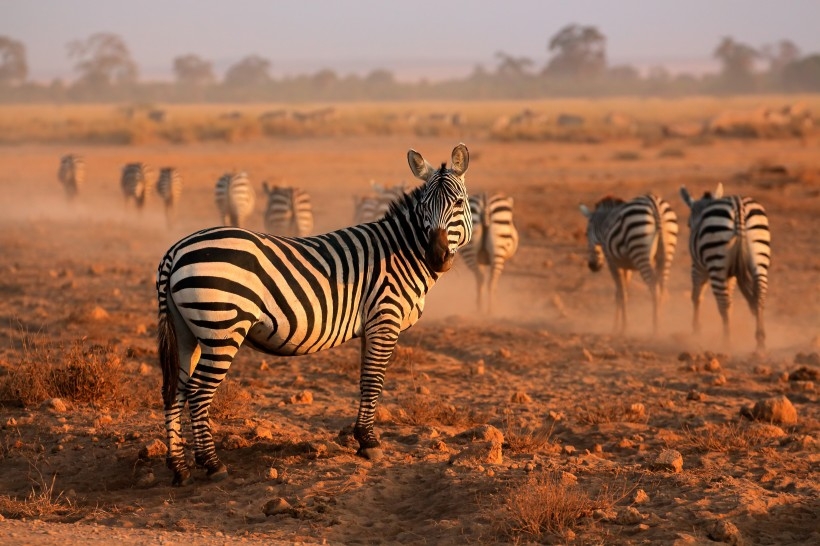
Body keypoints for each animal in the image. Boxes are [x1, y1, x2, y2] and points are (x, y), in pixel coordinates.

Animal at [156, 142, 470, 482]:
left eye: (458, 203)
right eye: (424, 207)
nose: (436, 256)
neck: (401, 253)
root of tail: (175, 250)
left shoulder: (372, 325)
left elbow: (365, 380)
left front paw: (362, 439)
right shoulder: (385, 318)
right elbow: (374, 380)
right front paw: (370, 443)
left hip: (186, 330)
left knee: (175, 390)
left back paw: (178, 467)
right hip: (222, 328)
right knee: (198, 392)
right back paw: (212, 464)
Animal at [580, 193, 684, 334]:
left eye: (586, 233)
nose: (593, 266)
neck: (605, 223)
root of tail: (654, 204)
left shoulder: (612, 262)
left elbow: (621, 294)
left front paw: (623, 328)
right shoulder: (626, 266)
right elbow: (621, 294)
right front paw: (616, 327)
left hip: (640, 250)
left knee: (654, 286)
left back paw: (655, 328)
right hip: (667, 251)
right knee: (662, 285)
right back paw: (662, 323)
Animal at [680, 183, 768, 348]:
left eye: (688, 224)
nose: (691, 227)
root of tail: (738, 206)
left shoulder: (698, 267)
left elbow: (696, 296)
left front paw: (696, 331)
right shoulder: (731, 274)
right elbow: (731, 301)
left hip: (716, 264)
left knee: (723, 303)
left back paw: (727, 342)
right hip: (760, 256)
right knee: (759, 295)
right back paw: (760, 343)